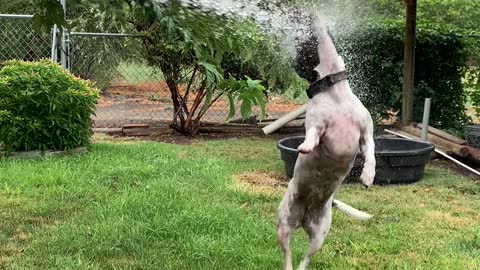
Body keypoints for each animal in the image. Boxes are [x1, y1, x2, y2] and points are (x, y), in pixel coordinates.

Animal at [276, 14, 376, 270]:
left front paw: (368, 176)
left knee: (305, 259)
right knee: (287, 254)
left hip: (319, 235)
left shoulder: (366, 133)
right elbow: (312, 134)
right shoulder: (316, 124)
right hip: (283, 224)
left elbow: (371, 154)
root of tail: (303, 218)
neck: (334, 92)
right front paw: (306, 147)